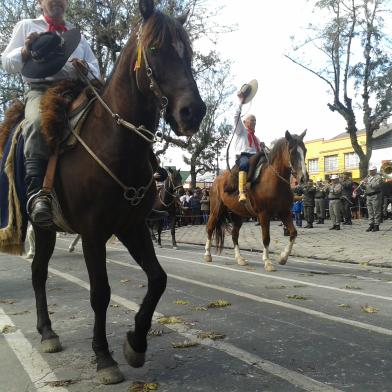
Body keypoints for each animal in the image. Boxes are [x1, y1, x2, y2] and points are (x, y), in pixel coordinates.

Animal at [29, 0, 205, 386]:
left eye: (189, 52)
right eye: (154, 49)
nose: (193, 112)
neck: (114, 142)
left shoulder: (132, 226)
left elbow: (158, 279)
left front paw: (135, 343)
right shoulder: (94, 233)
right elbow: (100, 293)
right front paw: (104, 356)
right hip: (42, 226)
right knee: (38, 273)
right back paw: (47, 332)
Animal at [204, 132, 308, 272]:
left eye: (305, 150)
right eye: (292, 151)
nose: (304, 178)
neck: (275, 181)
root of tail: (216, 181)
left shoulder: (284, 212)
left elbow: (293, 233)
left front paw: (283, 258)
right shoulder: (264, 214)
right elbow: (266, 238)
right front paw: (268, 262)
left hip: (238, 215)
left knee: (234, 234)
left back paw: (240, 258)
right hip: (216, 210)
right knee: (210, 228)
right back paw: (207, 254)